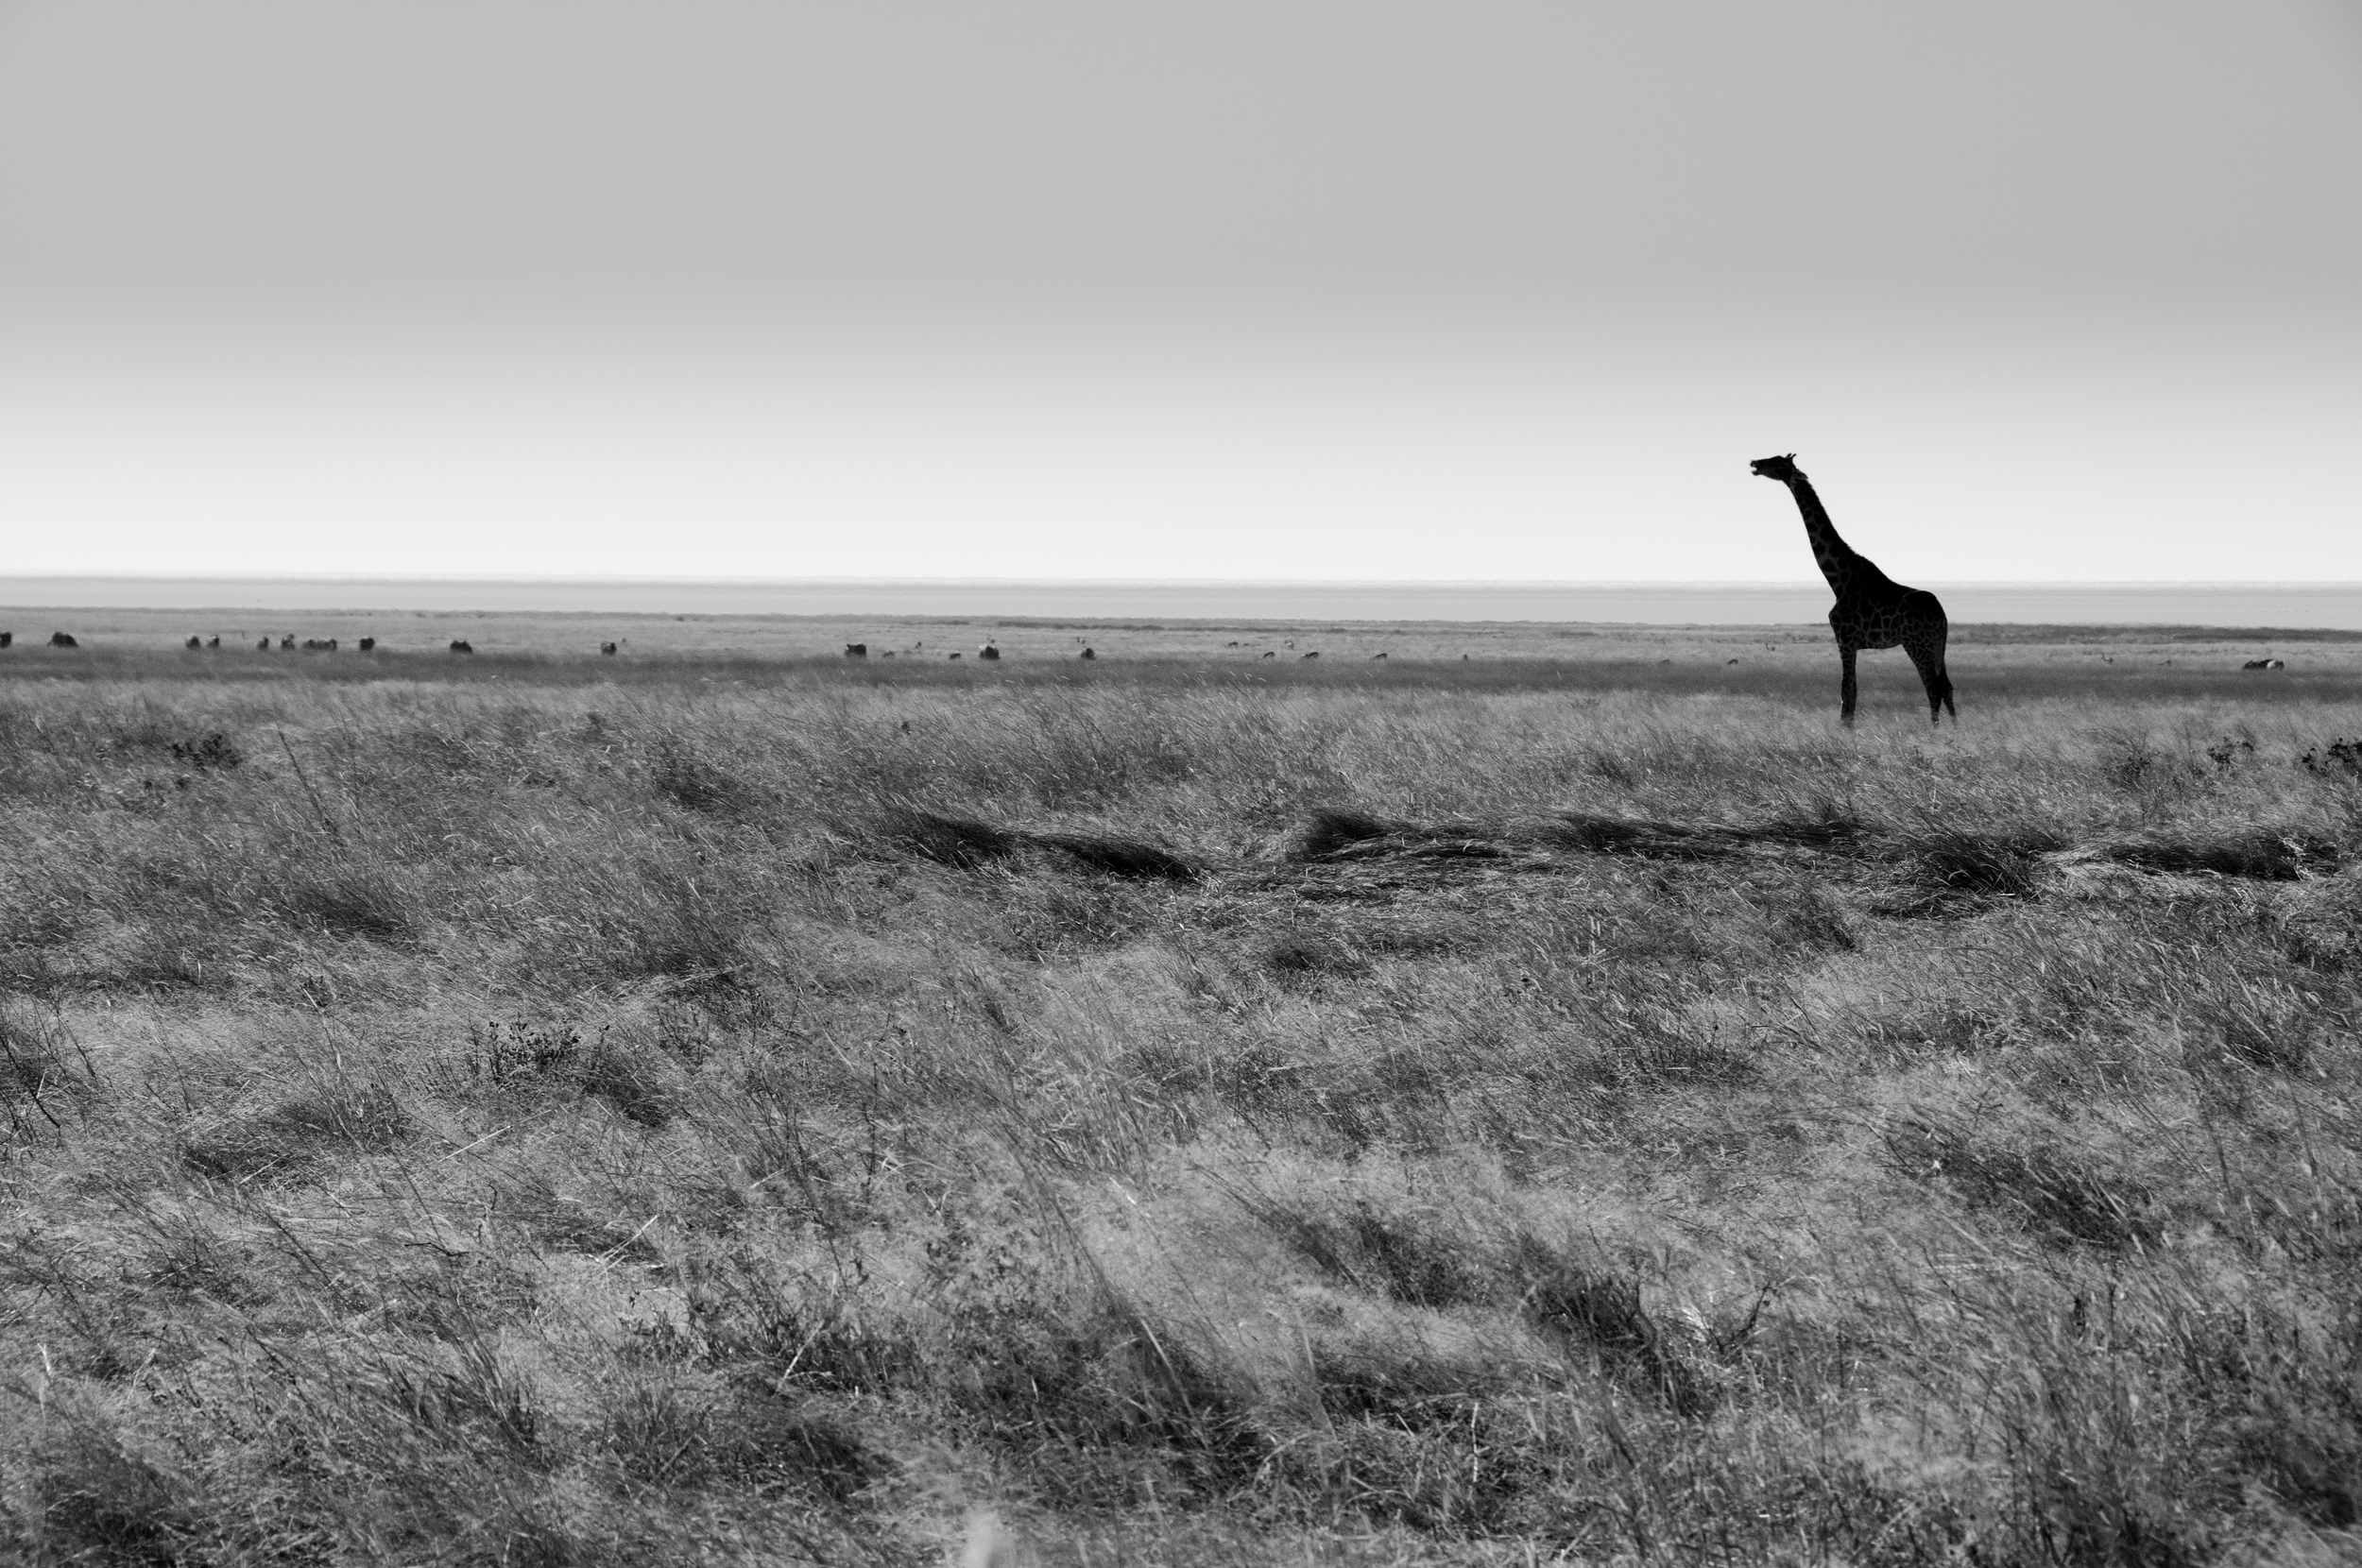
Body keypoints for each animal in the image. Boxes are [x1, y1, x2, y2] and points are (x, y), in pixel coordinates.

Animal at [1757, 451, 1956, 727]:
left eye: (1776, 462)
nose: (1754, 464)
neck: (1838, 579)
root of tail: (1941, 615)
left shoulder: (1845, 637)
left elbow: (1846, 692)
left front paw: (1845, 733)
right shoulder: (1850, 642)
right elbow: (1853, 692)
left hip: (1917, 643)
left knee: (1933, 688)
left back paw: (1934, 733)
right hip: (1939, 645)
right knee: (1947, 686)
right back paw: (1956, 730)